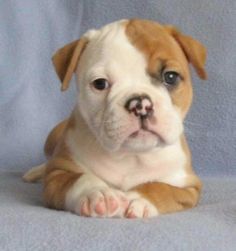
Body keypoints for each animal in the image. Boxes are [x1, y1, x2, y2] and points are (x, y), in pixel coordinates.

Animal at [22, 18, 206, 218]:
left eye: (171, 77)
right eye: (100, 83)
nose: (140, 104)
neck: (131, 156)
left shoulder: (188, 187)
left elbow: (161, 187)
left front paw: (139, 198)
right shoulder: (57, 176)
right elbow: (79, 179)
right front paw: (97, 193)